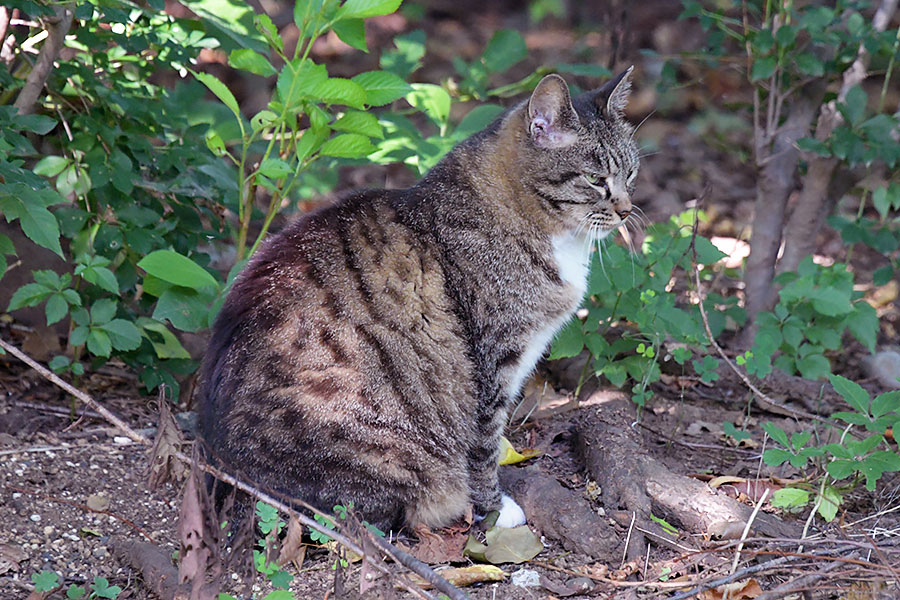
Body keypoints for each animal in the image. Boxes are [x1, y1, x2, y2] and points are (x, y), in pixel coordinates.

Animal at [200, 68, 640, 532]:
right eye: (596, 180)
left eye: (631, 174)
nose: (627, 210)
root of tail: (222, 472)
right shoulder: (493, 362)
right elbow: (484, 442)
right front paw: (494, 508)